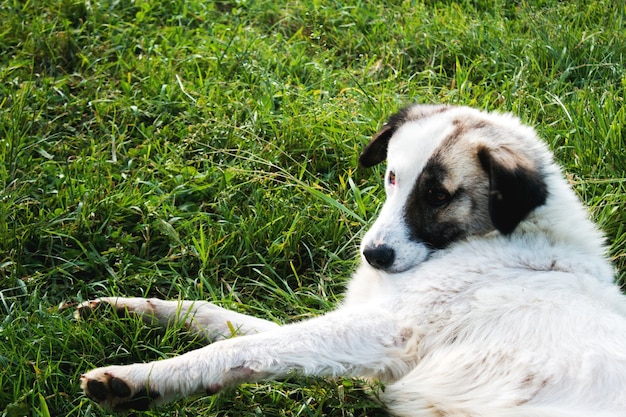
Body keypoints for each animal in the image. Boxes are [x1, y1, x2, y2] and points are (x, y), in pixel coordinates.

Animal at [75, 105, 620, 416]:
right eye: (392, 177)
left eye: (438, 195)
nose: (373, 256)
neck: (507, 237)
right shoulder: (367, 335)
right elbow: (222, 320)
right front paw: (128, 310)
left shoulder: (387, 332)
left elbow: (237, 350)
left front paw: (138, 380)